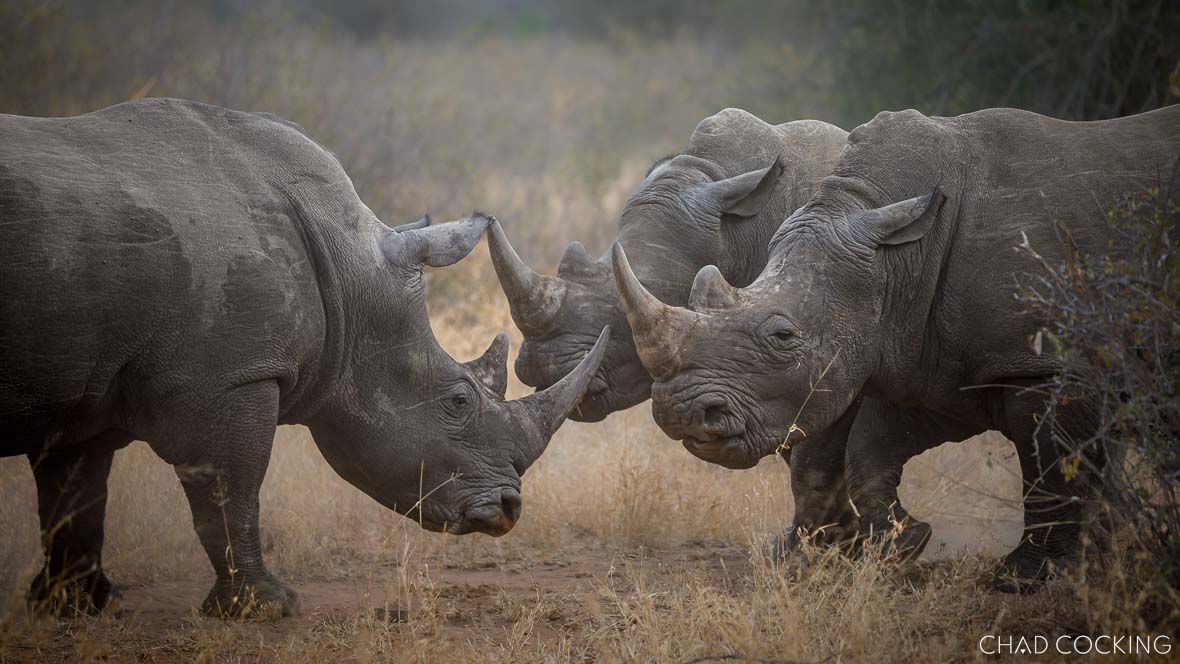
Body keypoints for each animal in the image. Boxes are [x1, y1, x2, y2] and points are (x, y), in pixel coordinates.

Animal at [0, 98, 608, 617]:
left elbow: (75, 498)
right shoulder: (231, 377)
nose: (507, 510)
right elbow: (231, 490)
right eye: (459, 400)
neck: (347, 274)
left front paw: (77, 606)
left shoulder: (82, 391)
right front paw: (266, 607)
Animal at [614, 104, 1180, 589]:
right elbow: (867, 450)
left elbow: (1048, 466)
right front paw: (903, 545)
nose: (682, 414)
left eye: (783, 336)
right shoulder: (927, 356)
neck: (897, 259)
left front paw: (1022, 579)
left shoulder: (1042, 365)